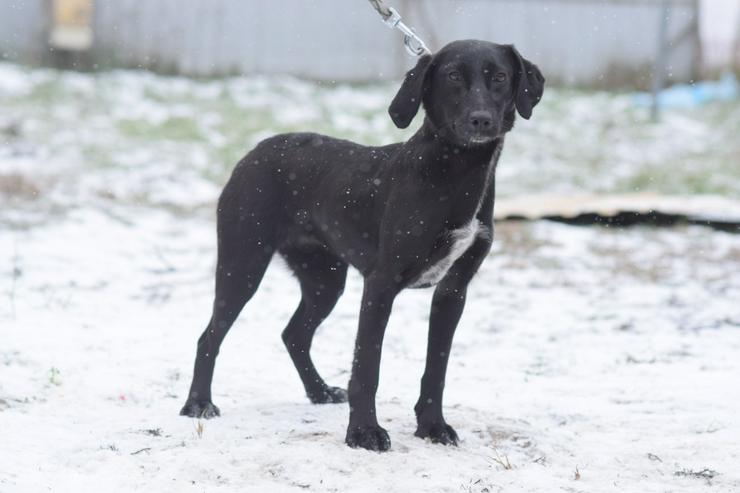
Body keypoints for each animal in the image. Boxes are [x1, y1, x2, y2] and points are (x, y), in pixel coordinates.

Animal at [181, 40, 544, 452]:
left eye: (499, 77)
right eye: (453, 76)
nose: (481, 120)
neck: (455, 172)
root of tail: (256, 149)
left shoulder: (453, 291)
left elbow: (436, 367)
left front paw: (432, 426)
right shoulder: (381, 284)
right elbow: (367, 367)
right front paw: (364, 432)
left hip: (325, 280)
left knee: (294, 334)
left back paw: (319, 392)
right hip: (243, 264)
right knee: (209, 336)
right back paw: (198, 403)